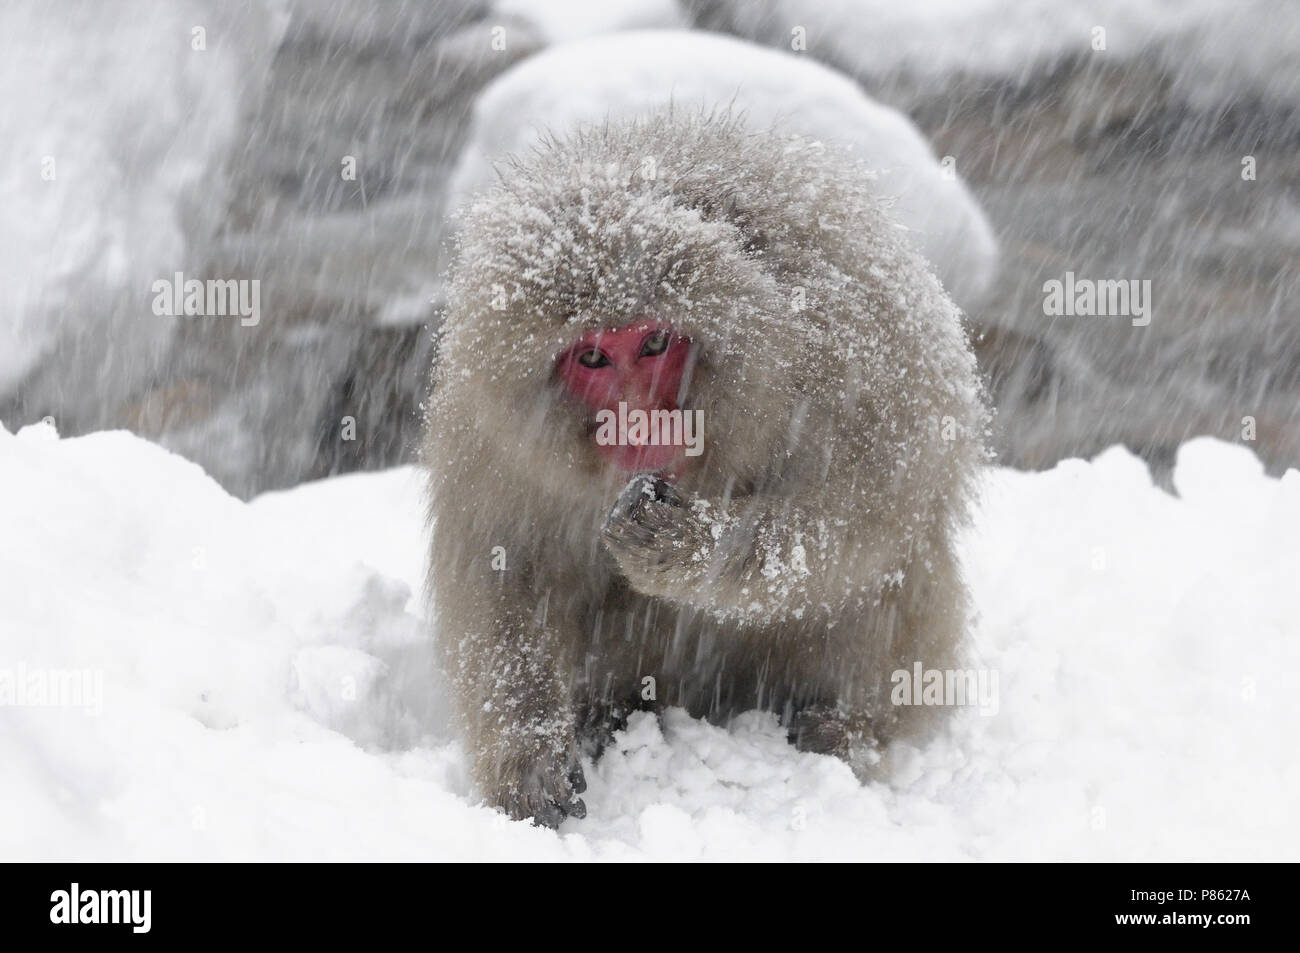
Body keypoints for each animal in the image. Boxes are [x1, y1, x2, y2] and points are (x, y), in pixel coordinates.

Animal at [426, 111, 982, 826]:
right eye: (593, 358)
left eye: (656, 343)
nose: (638, 423)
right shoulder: (490, 430)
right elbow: (504, 570)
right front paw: (528, 761)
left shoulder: (847, 342)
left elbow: (864, 513)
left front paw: (686, 546)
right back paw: (610, 714)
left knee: (882, 577)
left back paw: (847, 729)